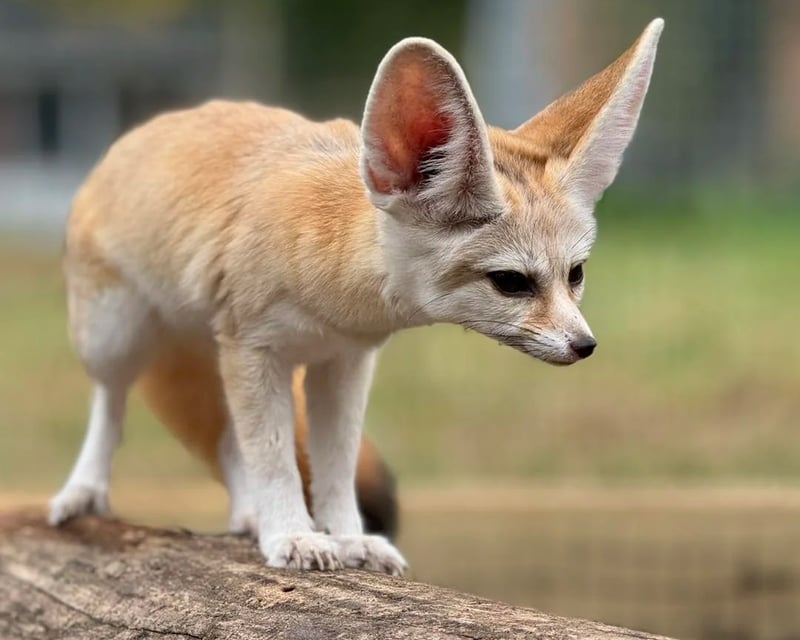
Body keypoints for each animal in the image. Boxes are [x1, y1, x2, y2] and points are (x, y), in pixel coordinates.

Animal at [49, 19, 663, 574]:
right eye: (512, 282)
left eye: (575, 274)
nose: (585, 345)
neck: (336, 301)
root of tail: (146, 127)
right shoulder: (256, 352)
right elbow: (275, 458)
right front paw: (293, 536)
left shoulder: (343, 363)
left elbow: (333, 466)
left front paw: (346, 539)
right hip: (116, 339)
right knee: (113, 406)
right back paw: (86, 491)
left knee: (227, 442)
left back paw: (249, 515)